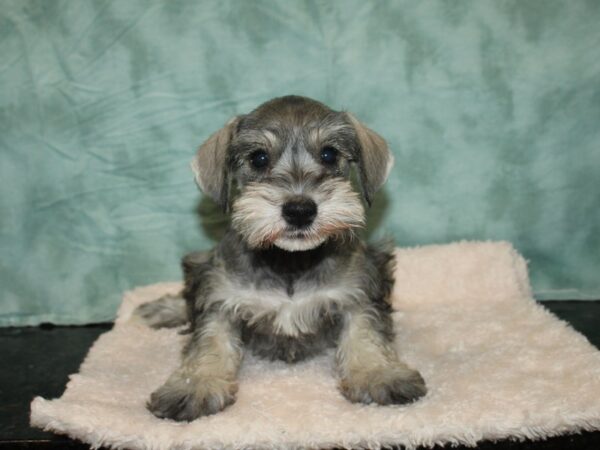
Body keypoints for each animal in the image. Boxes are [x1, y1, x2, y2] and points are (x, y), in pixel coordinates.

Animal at [135, 96, 426, 422]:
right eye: (259, 158)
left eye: (329, 154)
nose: (300, 210)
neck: (289, 260)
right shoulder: (217, 294)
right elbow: (209, 339)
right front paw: (194, 384)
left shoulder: (362, 286)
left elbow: (365, 331)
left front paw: (379, 373)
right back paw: (161, 308)